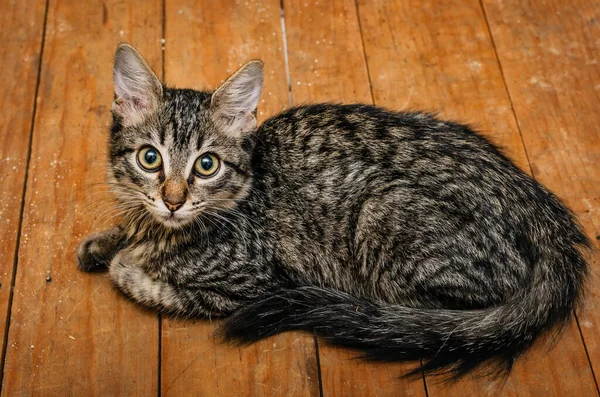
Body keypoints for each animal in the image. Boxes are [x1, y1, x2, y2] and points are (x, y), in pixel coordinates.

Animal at [77, 43, 588, 378]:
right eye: (150, 158)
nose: (173, 199)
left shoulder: (251, 284)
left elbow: (150, 284)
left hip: (383, 214)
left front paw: (125, 263)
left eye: (207, 165)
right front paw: (108, 241)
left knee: (424, 319)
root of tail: (543, 214)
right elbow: (128, 230)